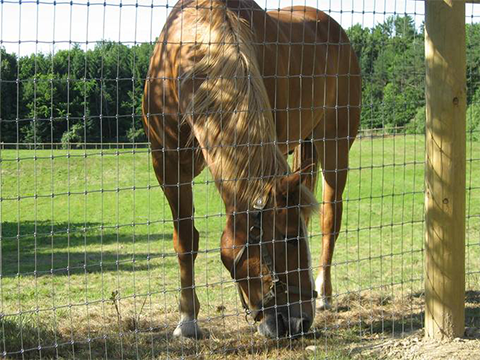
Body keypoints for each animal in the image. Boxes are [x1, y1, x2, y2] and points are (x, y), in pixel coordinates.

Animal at [142, 0, 360, 338]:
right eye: (289, 239)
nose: (299, 322)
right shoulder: (167, 166)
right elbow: (185, 241)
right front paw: (187, 320)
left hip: (334, 146)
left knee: (330, 219)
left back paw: (325, 294)